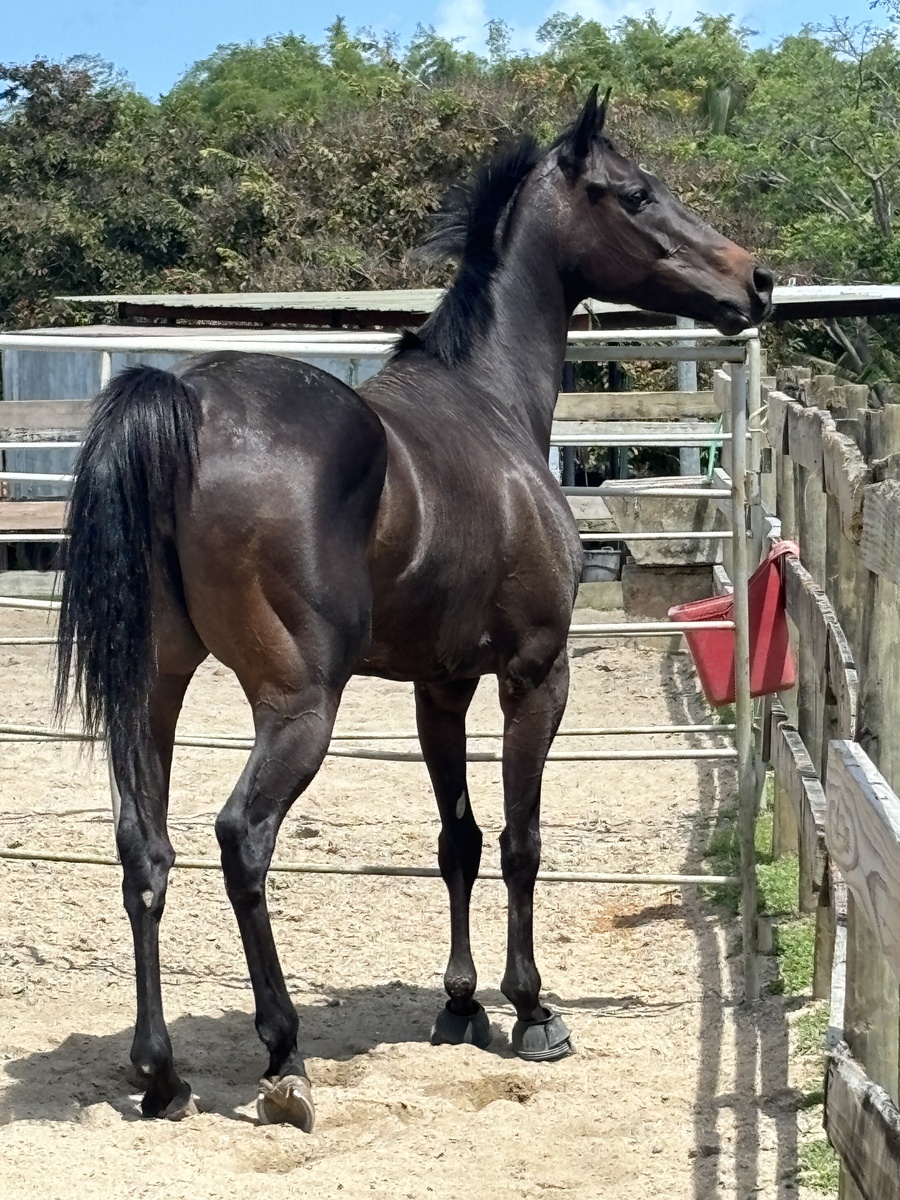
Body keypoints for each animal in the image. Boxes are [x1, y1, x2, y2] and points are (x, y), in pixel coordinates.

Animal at [55, 87, 773, 1131]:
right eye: (637, 194)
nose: (755, 282)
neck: (490, 405)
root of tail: (184, 403)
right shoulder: (533, 677)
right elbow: (519, 841)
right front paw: (530, 1009)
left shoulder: (441, 689)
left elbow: (458, 841)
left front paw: (460, 1005)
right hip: (298, 708)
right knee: (242, 840)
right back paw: (284, 1057)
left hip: (155, 691)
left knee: (144, 851)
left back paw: (162, 1075)